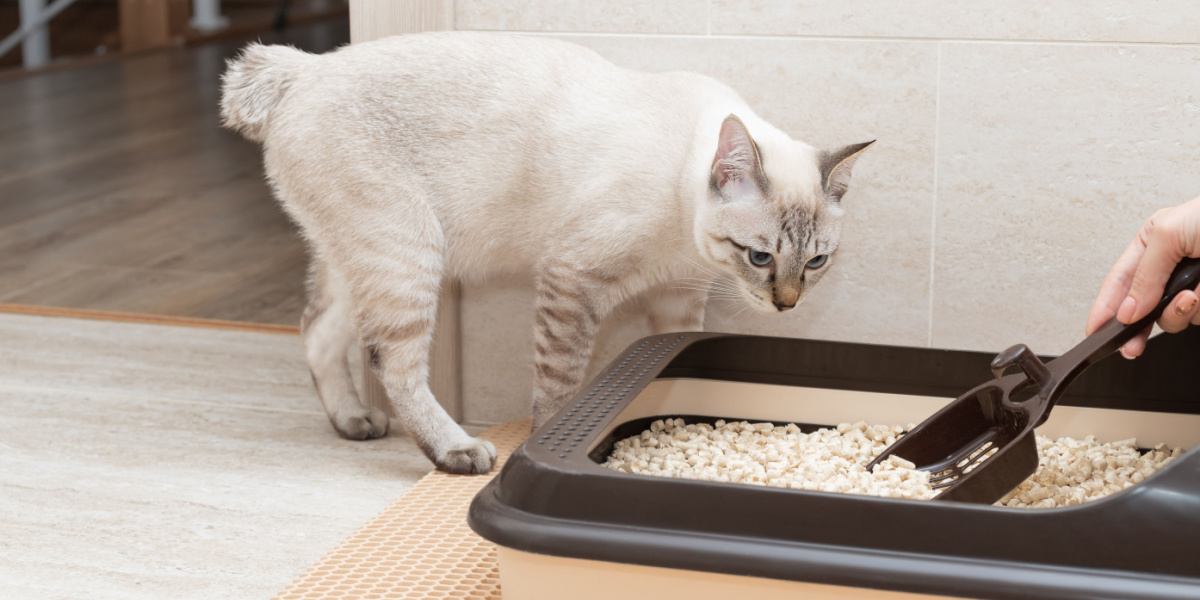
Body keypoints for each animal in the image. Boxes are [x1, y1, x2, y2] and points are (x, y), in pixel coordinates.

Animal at [218, 31, 873, 472]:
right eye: (761, 257)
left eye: (815, 262)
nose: (786, 305)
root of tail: (302, 68)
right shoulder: (573, 279)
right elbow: (561, 384)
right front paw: (553, 436)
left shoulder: (676, 299)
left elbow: (675, 357)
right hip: (407, 251)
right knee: (391, 362)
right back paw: (455, 449)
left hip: (354, 256)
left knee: (316, 330)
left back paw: (352, 421)